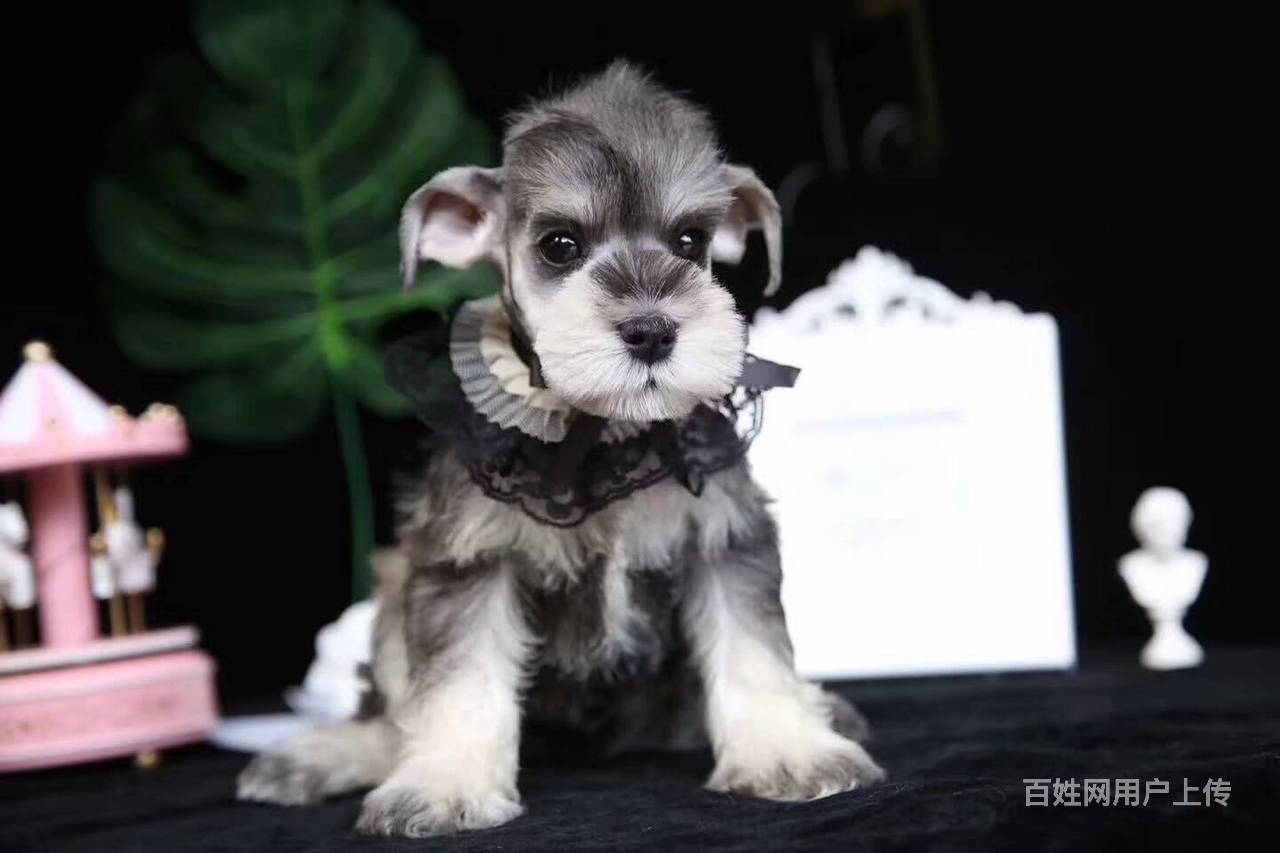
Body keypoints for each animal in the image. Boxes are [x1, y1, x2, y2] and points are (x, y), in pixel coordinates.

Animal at [238, 61, 880, 835]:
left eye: (691, 241)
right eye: (560, 246)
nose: (652, 331)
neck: (603, 432)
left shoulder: (724, 539)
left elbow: (753, 649)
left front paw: (789, 752)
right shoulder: (468, 562)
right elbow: (458, 681)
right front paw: (443, 785)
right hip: (392, 589)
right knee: (389, 717)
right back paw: (314, 758)